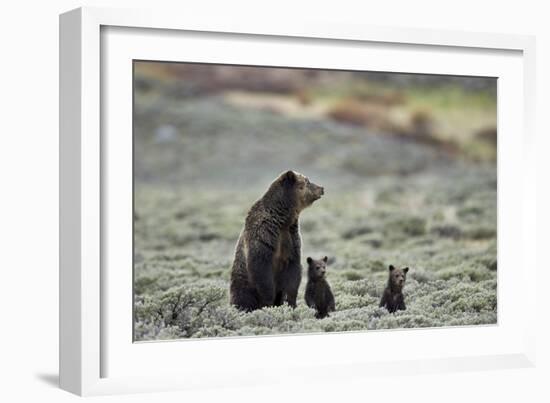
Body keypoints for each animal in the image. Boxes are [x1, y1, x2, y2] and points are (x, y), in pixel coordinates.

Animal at [231, 170, 326, 312]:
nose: (321, 188)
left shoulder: (290, 239)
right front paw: (268, 302)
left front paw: (289, 302)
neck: (283, 219)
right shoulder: (264, 235)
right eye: (307, 181)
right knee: (243, 296)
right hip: (241, 282)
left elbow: (292, 273)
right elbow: (262, 271)